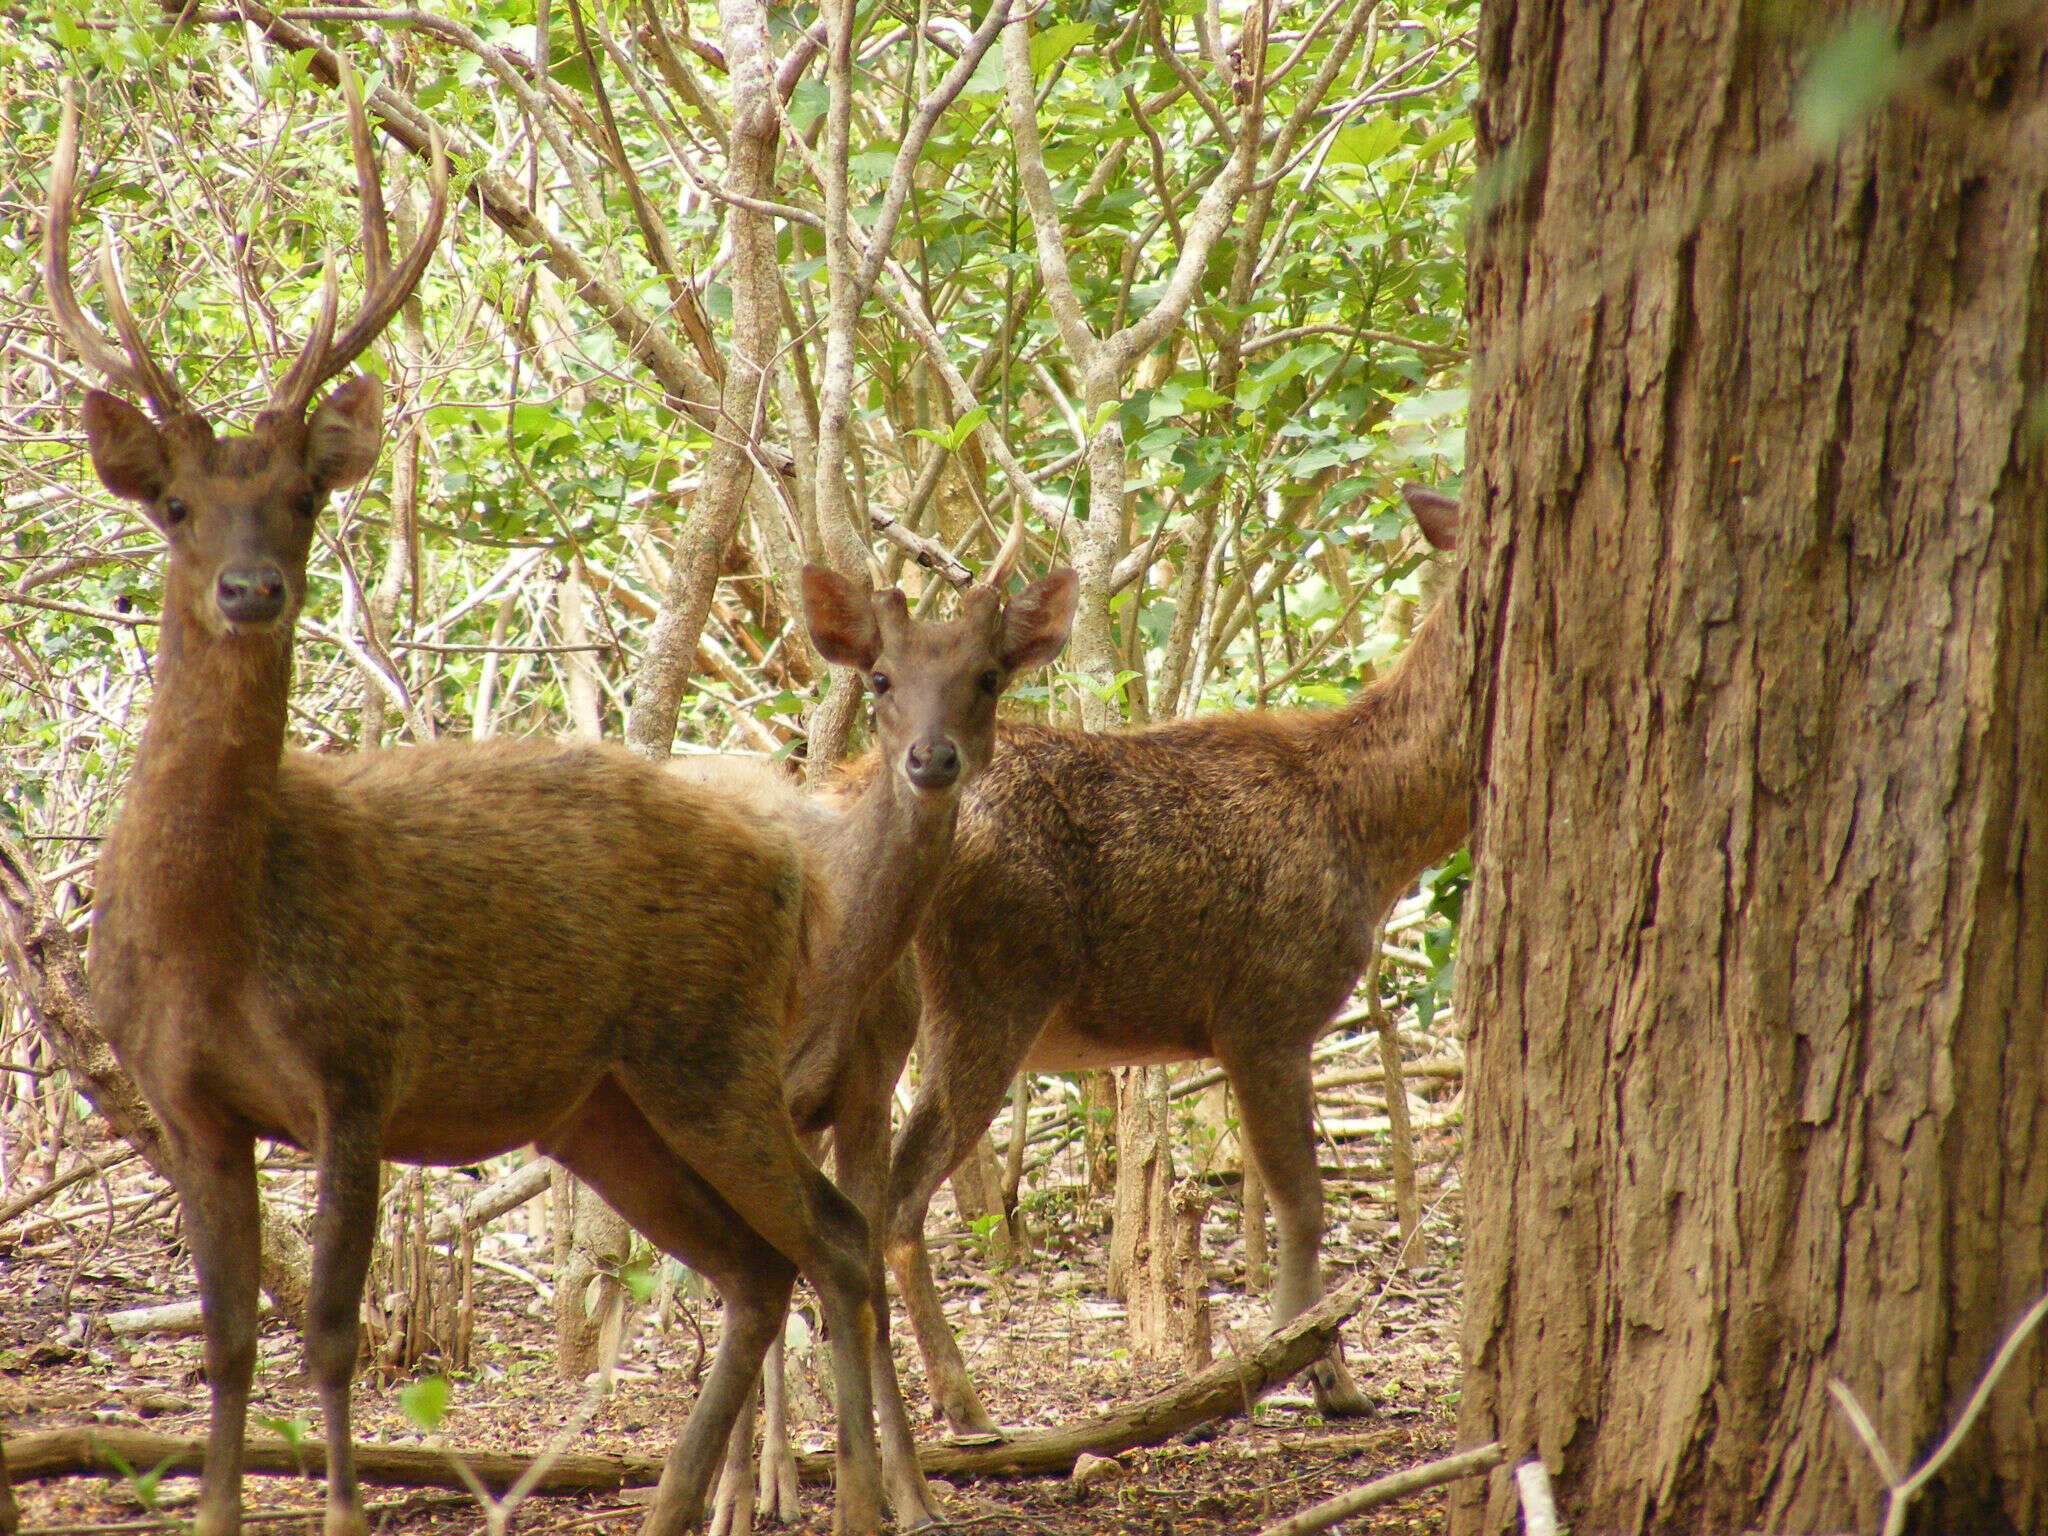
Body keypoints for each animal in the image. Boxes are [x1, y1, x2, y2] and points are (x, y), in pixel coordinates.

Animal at [46, 78, 888, 1536]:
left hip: (711, 1045)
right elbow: (228, 1346)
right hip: (601, 1104)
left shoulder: (357, 1065)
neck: (214, 927)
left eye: (300, 497)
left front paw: (338, 1510)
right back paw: (678, 1504)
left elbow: (329, 1336)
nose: (252, 591)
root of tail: (795, 866)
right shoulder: (186, 1100)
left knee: (834, 1240)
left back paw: (875, 1505)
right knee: (756, 1267)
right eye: (177, 505)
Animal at [884, 493, 1474, 1441]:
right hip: (989, 988)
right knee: (897, 1202)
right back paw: (963, 1405)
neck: (1371, 827)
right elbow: (1304, 1207)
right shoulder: (1266, 1012)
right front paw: (1319, 1376)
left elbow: (1285, 1205)